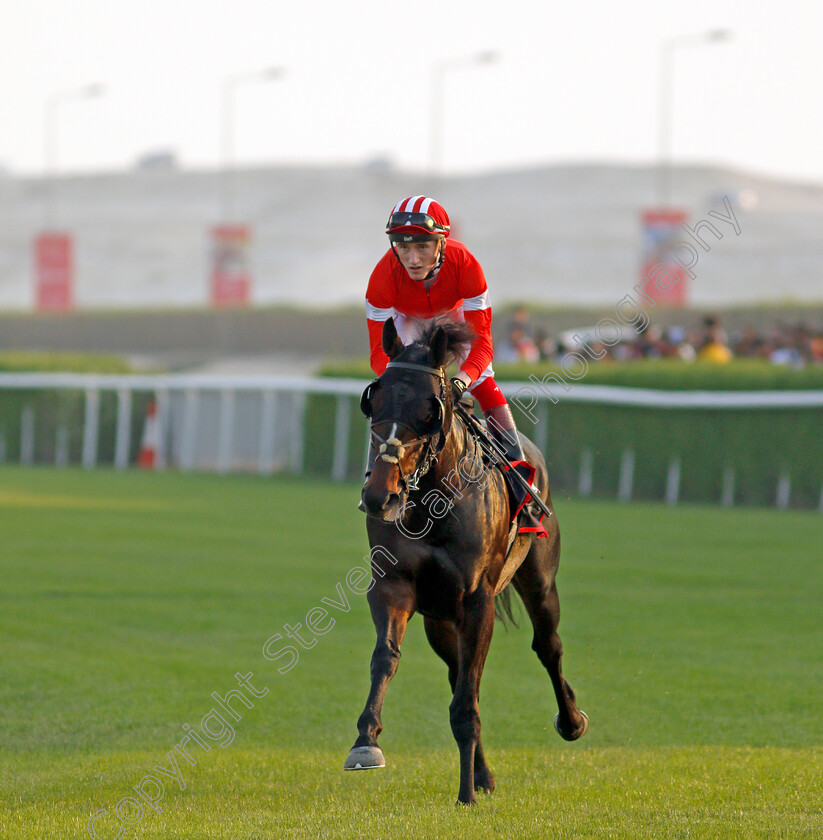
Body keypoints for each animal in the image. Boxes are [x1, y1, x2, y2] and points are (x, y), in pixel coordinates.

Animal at [344, 318, 588, 804]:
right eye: (373, 400)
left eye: (429, 408)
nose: (380, 496)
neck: (433, 502)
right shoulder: (394, 585)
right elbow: (386, 657)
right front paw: (366, 741)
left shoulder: (477, 600)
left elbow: (468, 697)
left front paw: (466, 795)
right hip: (440, 619)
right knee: (458, 670)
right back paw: (482, 773)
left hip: (539, 579)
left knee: (547, 645)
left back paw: (570, 721)